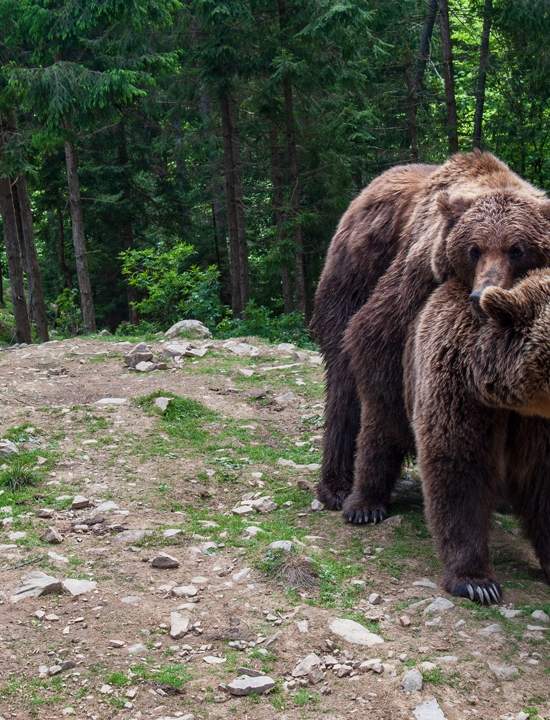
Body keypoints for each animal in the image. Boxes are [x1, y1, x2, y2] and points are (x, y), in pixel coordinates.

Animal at [312, 152, 550, 520]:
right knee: (343, 382)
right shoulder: (415, 281)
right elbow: (375, 360)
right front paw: (366, 501)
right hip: (351, 277)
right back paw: (336, 486)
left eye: (517, 249)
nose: (480, 295)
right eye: (474, 249)